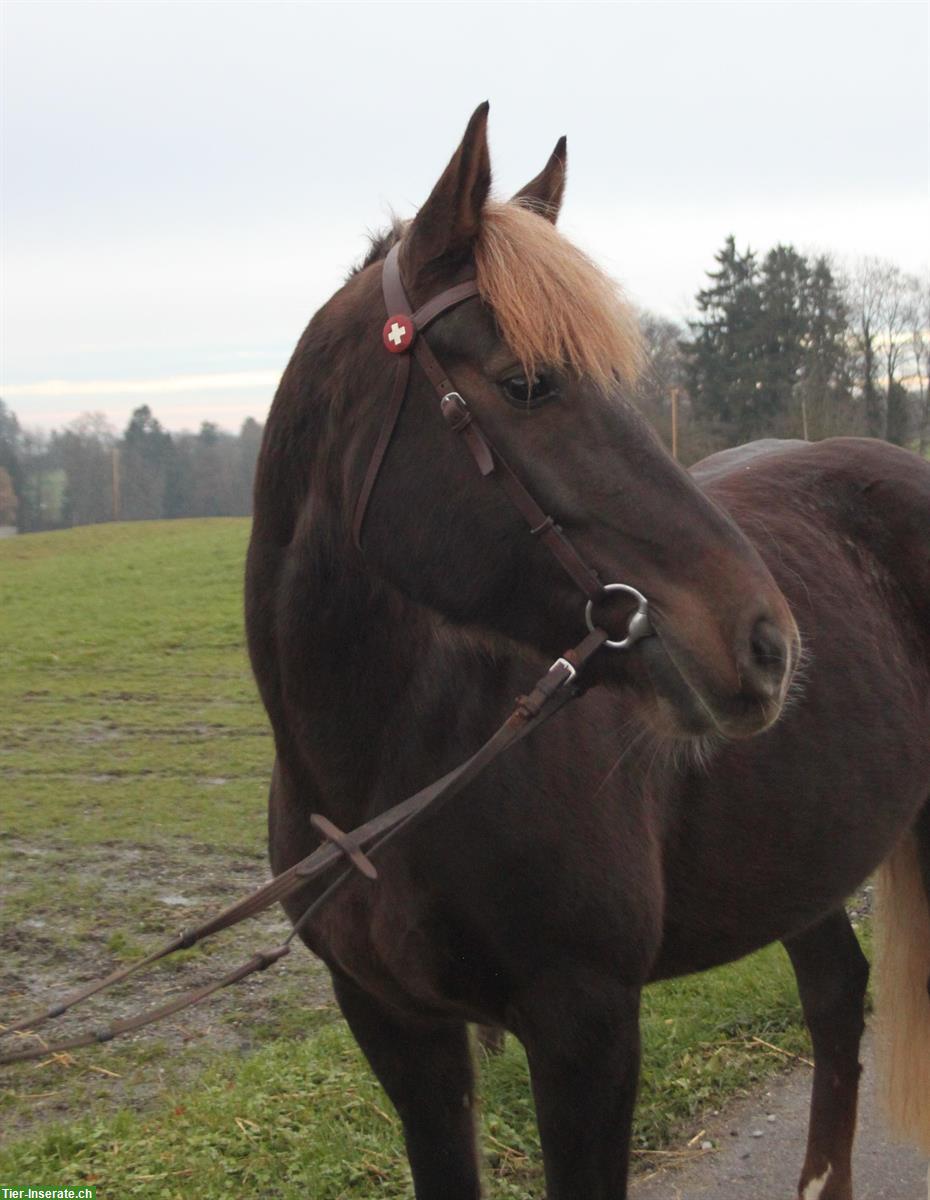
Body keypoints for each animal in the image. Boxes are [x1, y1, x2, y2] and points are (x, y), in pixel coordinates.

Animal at [247, 105, 930, 1200]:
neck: (392, 775)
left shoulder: (587, 1028)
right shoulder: (398, 1033)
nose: (770, 642)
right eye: (528, 384)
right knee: (836, 994)